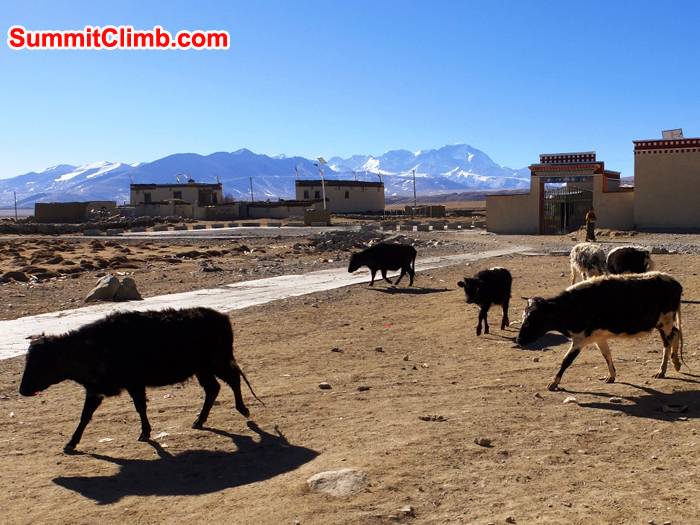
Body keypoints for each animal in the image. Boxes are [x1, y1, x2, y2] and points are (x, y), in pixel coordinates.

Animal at [19, 307, 261, 453]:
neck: (92, 347)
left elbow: (140, 407)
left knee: (233, 380)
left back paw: (243, 409)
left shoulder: (134, 384)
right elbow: (85, 416)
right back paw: (199, 421)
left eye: (39, 362)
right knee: (213, 389)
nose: (22, 390)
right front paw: (70, 443)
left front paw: (145, 433)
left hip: (217, 362)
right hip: (203, 369)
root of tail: (222, 318)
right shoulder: (95, 390)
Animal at [515, 272, 683, 391]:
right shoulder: (599, 337)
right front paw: (611, 375)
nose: (519, 340)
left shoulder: (580, 339)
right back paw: (672, 365)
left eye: (531, 320)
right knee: (674, 337)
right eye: (523, 317)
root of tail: (674, 282)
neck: (572, 306)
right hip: (662, 324)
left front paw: (553, 383)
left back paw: (665, 369)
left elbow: (566, 360)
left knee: (669, 342)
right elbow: (606, 355)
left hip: (665, 322)